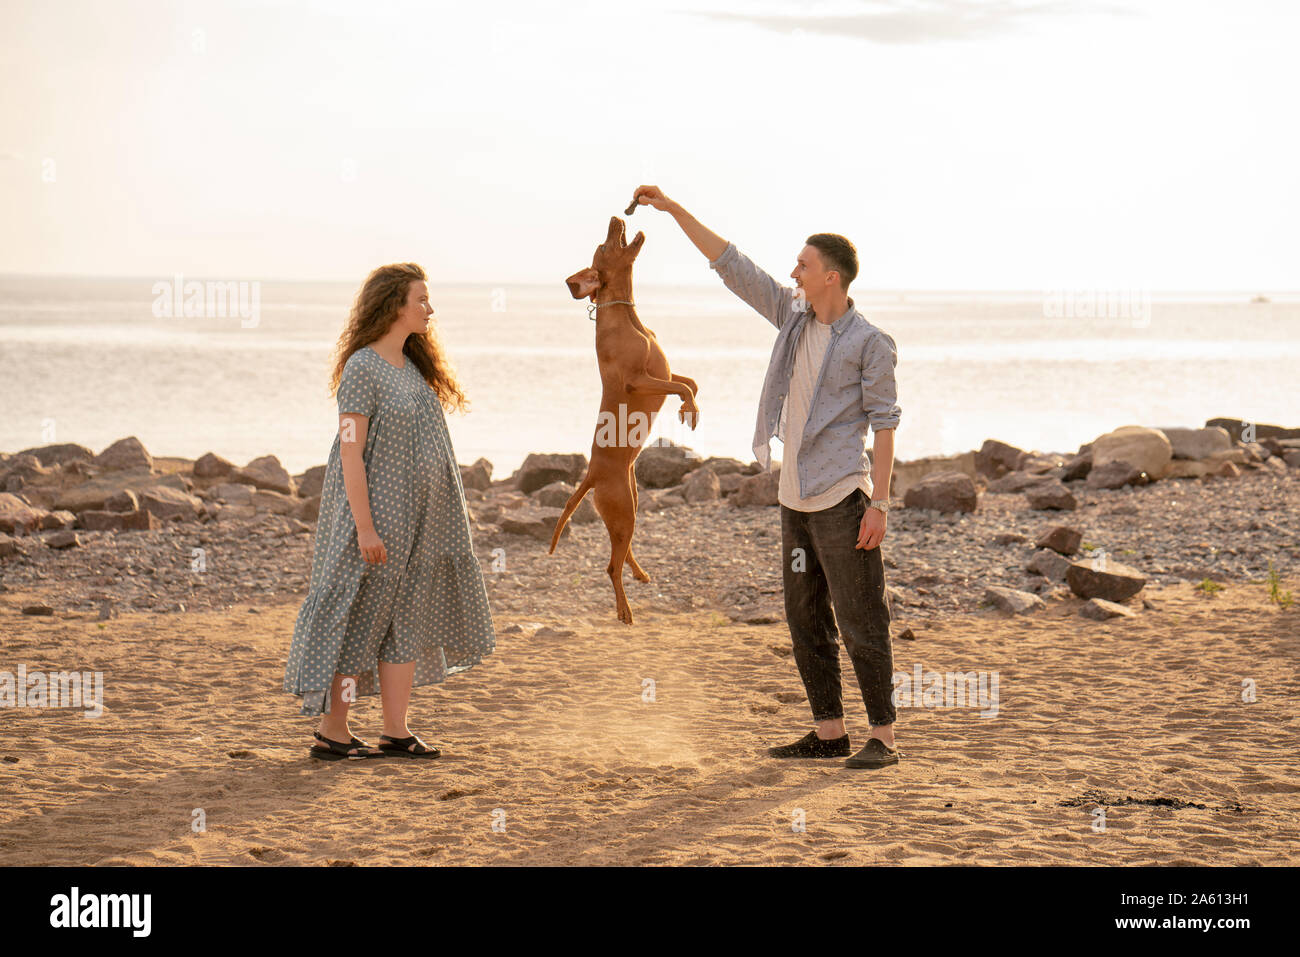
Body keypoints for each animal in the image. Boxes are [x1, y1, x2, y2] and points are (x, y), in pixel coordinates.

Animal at [553, 214, 707, 629]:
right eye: (604, 246)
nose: (616, 218)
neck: (626, 318)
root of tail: (592, 473)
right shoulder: (638, 380)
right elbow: (681, 387)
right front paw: (688, 409)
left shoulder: (664, 372)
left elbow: (690, 382)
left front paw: (692, 408)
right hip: (622, 508)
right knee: (610, 567)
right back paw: (624, 609)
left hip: (630, 507)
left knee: (623, 553)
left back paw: (638, 573)